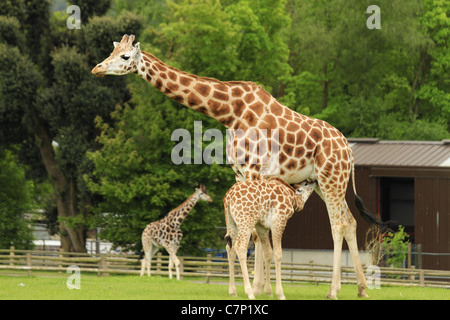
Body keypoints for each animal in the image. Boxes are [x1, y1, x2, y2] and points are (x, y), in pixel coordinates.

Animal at [92, 33, 386, 298]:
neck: (229, 112)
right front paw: (261, 288)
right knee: (350, 221)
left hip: (331, 178)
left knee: (337, 225)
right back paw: (361, 289)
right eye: (113, 50)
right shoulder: (238, 173)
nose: (97, 68)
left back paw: (333, 290)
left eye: (125, 56)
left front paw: (257, 288)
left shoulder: (254, 170)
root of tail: (348, 150)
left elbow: (255, 236)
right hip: (326, 184)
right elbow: (248, 236)